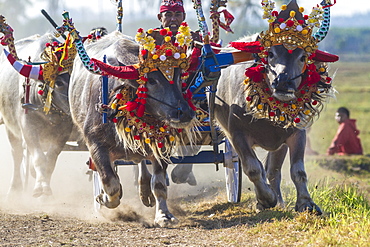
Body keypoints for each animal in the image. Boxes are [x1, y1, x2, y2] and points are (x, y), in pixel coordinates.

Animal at [0, 15, 75, 197]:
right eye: (60, 83)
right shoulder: (28, 127)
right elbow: (39, 158)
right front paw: (40, 187)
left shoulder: (63, 132)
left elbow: (51, 160)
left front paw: (44, 185)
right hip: (10, 126)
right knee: (16, 153)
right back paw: (14, 189)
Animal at [57, 14, 197, 226]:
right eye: (151, 80)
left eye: (180, 76)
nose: (185, 113)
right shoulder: (95, 144)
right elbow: (110, 182)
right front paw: (103, 198)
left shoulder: (160, 145)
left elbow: (159, 184)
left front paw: (164, 215)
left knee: (140, 164)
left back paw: (144, 189)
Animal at [214, 0, 338, 213]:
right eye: (270, 53)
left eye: (303, 57)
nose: (283, 82)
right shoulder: (237, 134)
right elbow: (253, 168)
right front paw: (265, 199)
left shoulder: (296, 133)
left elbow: (297, 171)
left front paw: (306, 203)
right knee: (260, 169)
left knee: (273, 171)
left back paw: (279, 201)